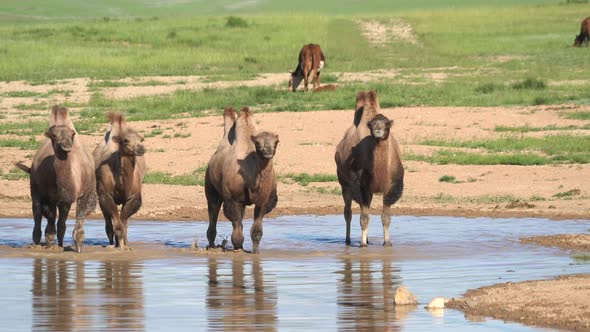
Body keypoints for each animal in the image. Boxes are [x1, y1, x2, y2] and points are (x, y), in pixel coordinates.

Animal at [14, 105, 97, 253]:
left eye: (72, 134)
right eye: (53, 135)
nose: (66, 146)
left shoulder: (83, 195)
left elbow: (78, 226)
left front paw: (78, 249)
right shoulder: (50, 198)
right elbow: (50, 228)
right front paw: (49, 248)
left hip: (63, 202)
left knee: (61, 224)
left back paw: (61, 245)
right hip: (35, 190)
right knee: (38, 217)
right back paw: (36, 244)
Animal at [95, 112, 147, 249]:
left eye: (141, 139)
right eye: (125, 140)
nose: (140, 148)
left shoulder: (134, 197)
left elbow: (123, 224)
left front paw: (125, 245)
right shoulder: (105, 194)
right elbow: (117, 226)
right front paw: (119, 247)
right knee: (108, 224)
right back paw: (112, 243)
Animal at [206, 107, 280, 253]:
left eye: (276, 142)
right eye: (257, 143)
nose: (268, 150)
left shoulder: (263, 201)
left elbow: (256, 230)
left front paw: (255, 252)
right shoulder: (232, 199)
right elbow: (235, 223)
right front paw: (238, 249)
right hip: (211, 187)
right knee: (213, 211)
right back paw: (211, 246)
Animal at [338, 91, 408, 246]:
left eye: (386, 124)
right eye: (371, 125)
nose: (378, 129)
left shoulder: (391, 188)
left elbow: (385, 217)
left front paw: (387, 243)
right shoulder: (362, 188)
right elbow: (363, 218)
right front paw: (363, 244)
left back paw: (368, 239)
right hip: (345, 184)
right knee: (348, 212)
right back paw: (348, 240)